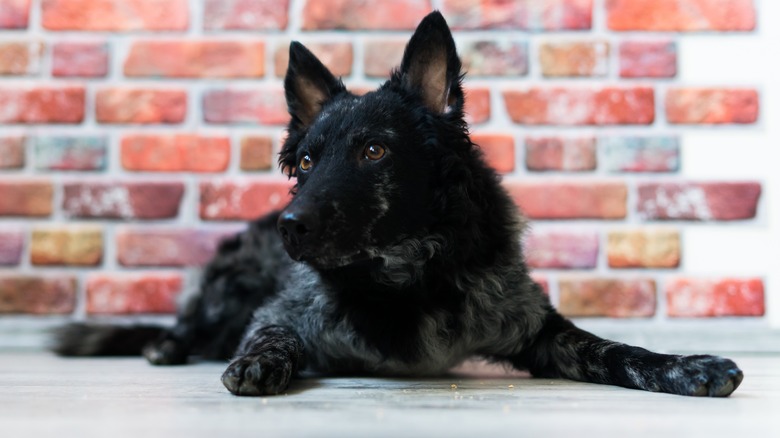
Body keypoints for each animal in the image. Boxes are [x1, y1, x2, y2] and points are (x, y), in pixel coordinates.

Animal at [51, 12, 748, 398]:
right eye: (307, 162)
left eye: (374, 150)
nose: (290, 228)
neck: (407, 276)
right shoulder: (283, 312)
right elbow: (271, 333)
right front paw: (258, 361)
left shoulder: (537, 327)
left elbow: (610, 349)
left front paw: (685, 365)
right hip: (229, 286)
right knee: (191, 322)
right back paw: (167, 344)